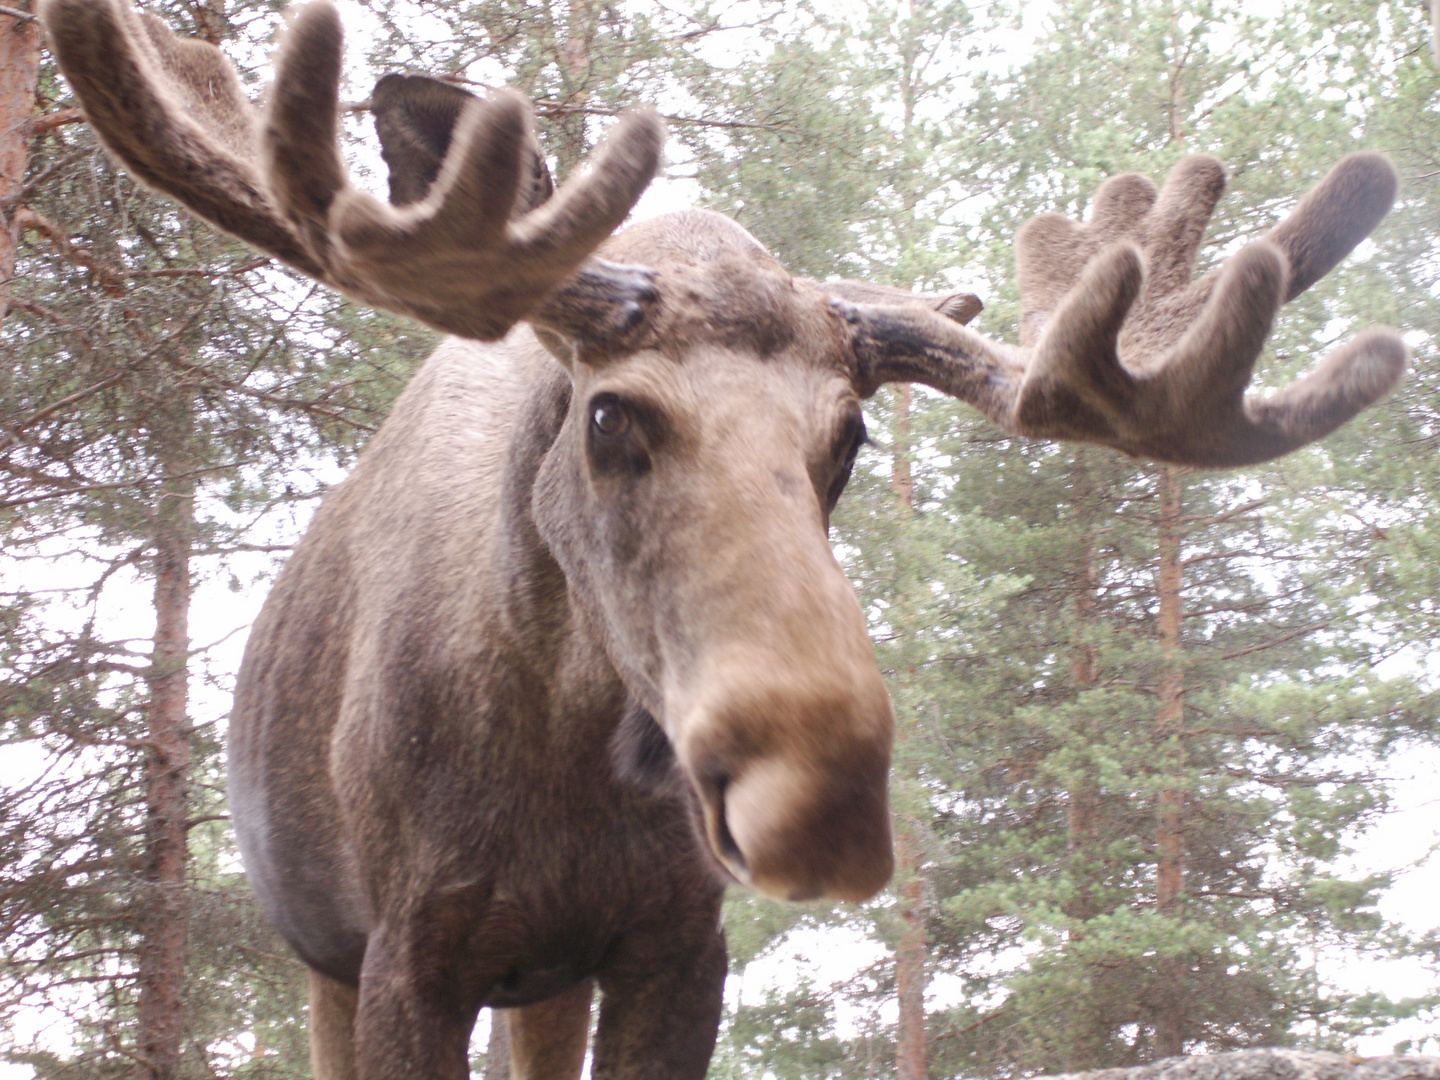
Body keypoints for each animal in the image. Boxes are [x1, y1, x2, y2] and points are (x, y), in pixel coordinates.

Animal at [39, 0, 1411, 1077]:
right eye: (608, 412)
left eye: (851, 435)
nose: (824, 807)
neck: (556, 773)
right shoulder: (406, 950)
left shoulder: (673, 944)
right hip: (329, 949)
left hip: (544, 975)